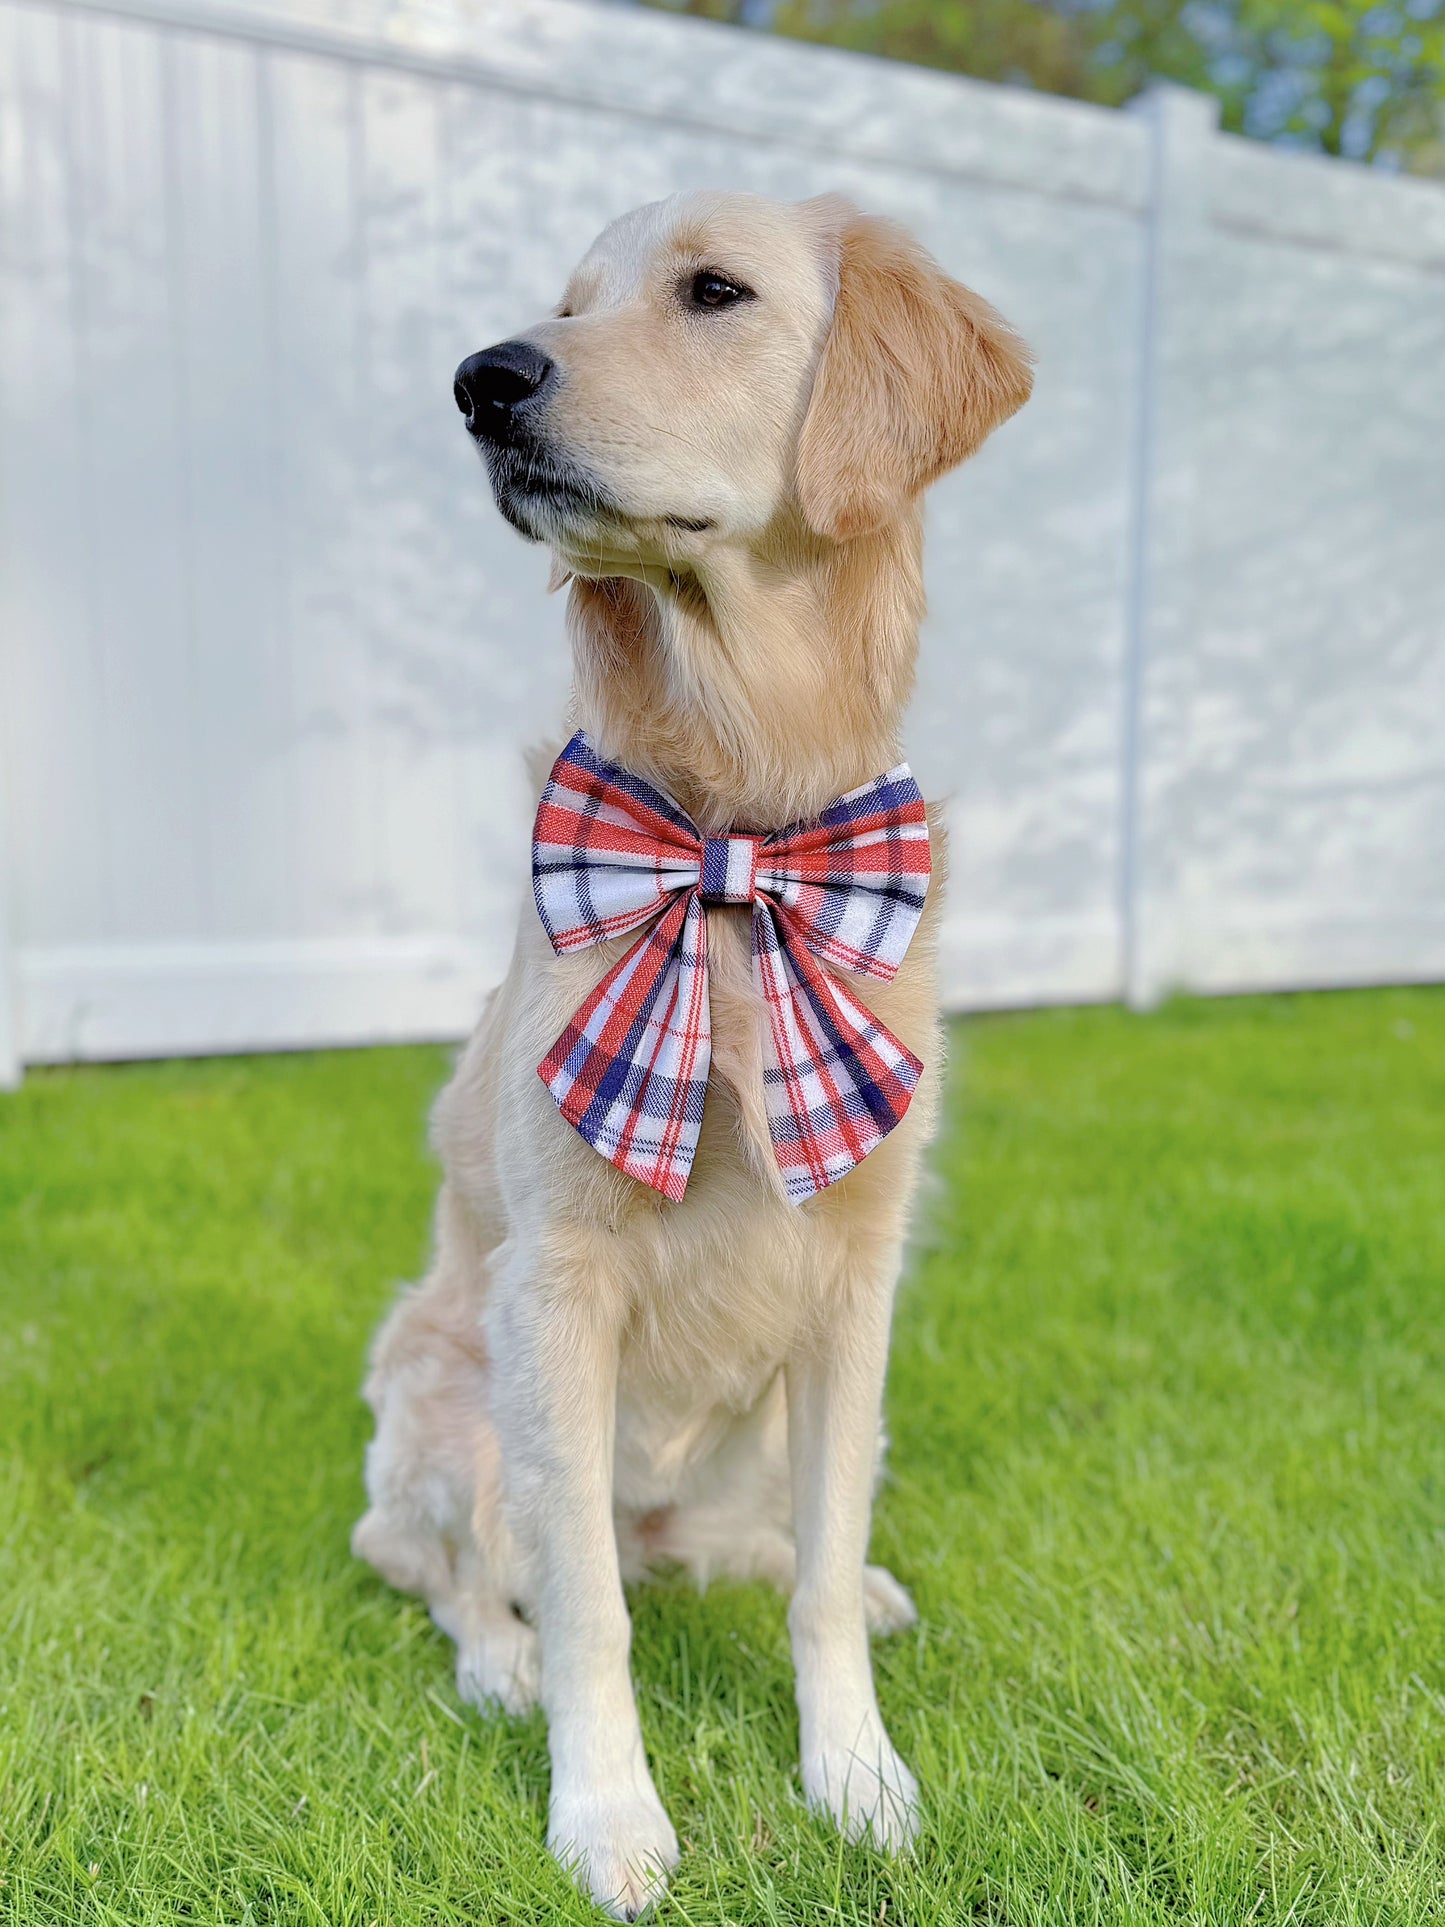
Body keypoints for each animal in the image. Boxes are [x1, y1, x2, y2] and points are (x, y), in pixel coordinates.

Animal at [354, 184, 1032, 1911]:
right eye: (565, 302)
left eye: (711, 293)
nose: (483, 379)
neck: (735, 834)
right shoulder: (555, 1285)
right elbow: (587, 1605)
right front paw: (607, 1815)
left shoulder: (858, 1280)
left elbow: (814, 1568)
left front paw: (855, 1775)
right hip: (449, 1391)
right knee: (479, 1568)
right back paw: (496, 1663)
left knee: (727, 1547)